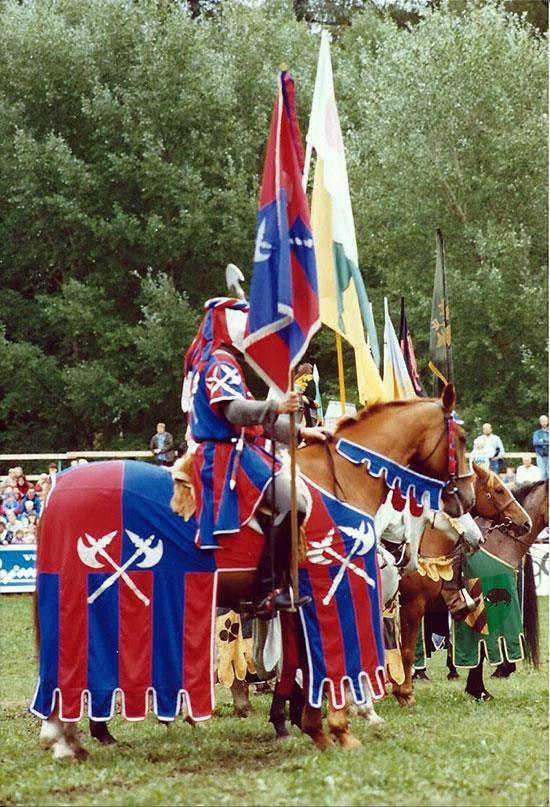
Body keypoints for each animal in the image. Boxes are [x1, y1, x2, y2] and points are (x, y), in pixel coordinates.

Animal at [36, 386, 476, 756]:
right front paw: (340, 727)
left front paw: (307, 726)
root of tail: (57, 490)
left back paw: (72, 739)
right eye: (462, 438)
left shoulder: (294, 605)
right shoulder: (330, 594)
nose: (467, 499)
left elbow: (298, 666)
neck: (340, 482)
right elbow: (326, 659)